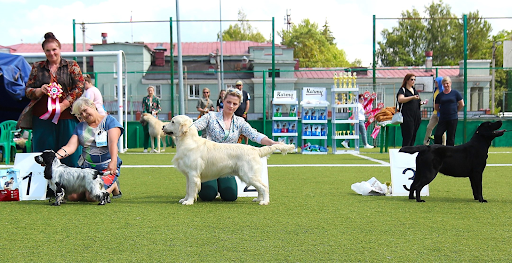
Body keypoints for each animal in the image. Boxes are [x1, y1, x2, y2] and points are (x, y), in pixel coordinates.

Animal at [162, 115, 294, 206]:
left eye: (172, 121)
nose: (163, 126)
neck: (188, 141)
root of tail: (255, 149)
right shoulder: (188, 175)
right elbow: (187, 189)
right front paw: (185, 199)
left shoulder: (193, 174)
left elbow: (191, 189)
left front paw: (189, 202)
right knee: (259, 188)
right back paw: (258, 199)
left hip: (249, 174)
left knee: (264, 187)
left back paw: (264, 202)